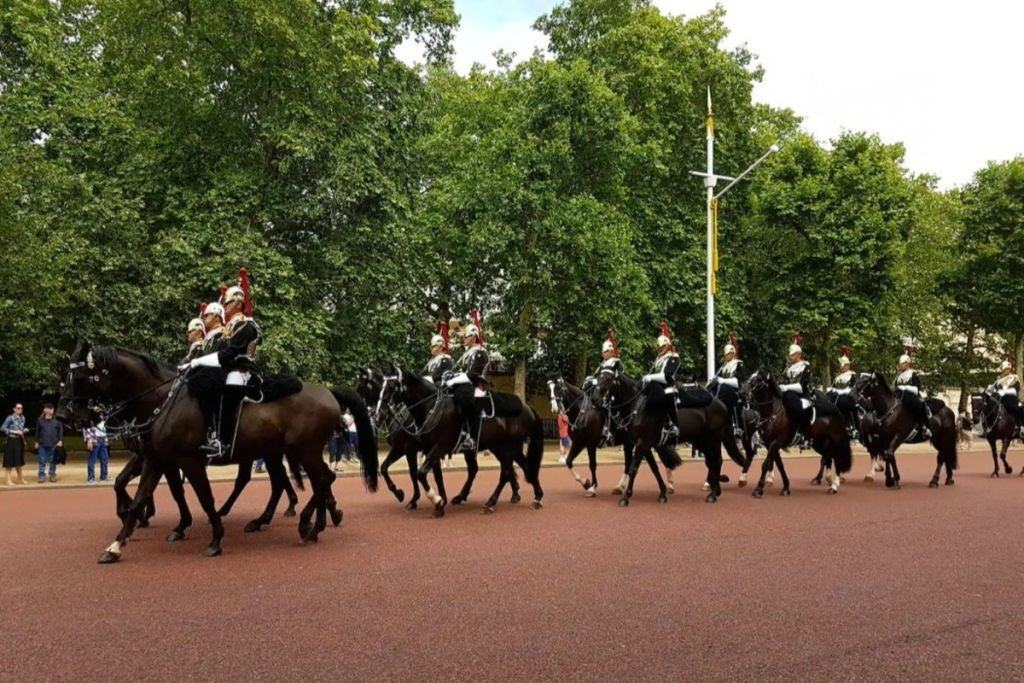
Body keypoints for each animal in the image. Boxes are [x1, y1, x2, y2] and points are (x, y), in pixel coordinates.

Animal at [56, 339, 378, 565]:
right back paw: (300, 523)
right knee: (306, 481)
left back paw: (310, 526)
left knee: (320, 480)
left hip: (304, 450)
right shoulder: (156, 460)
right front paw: (116, 544)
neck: (161, 400)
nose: (67, 417)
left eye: (79, 377)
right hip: (284, 451)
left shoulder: (187, 460)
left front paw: (214, 539)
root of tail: (329, 391)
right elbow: (139, 497)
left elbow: (203, 497)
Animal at [380, 368, 544, 518]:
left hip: (507, 447)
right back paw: (535, 496)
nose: (380, 412)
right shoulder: (427, 449)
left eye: (392, 386)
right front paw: (439, 503)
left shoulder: (429, 448)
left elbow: (419, 473)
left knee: (506, 472)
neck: (431, 408)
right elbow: (433, 475)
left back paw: (491, 503)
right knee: (518, 468)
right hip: (502, 447)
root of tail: (527, 409)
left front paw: (433, 500)